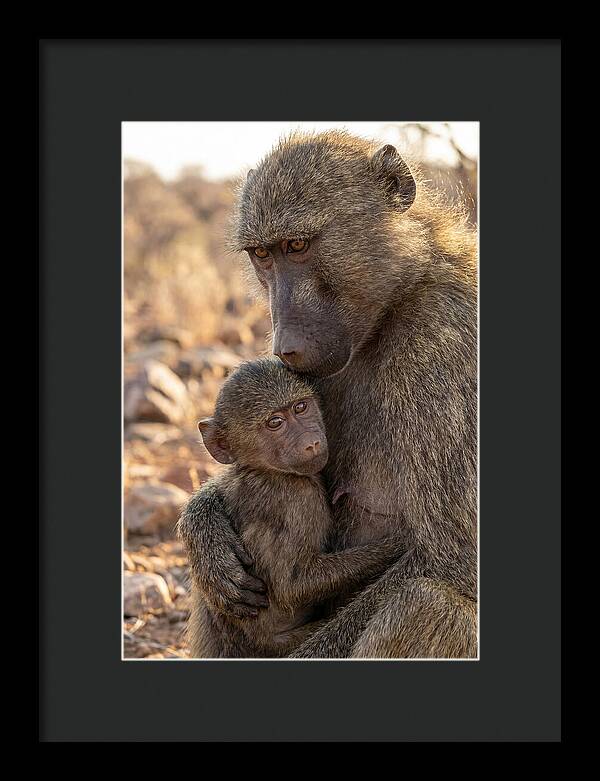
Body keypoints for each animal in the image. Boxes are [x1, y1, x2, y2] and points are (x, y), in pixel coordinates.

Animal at [179, 357, 406, 658]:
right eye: (275, 423)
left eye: (301, 407)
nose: (312, 443)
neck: (264, 470)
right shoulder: (298, 499)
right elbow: (293, 586)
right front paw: (398, 545)